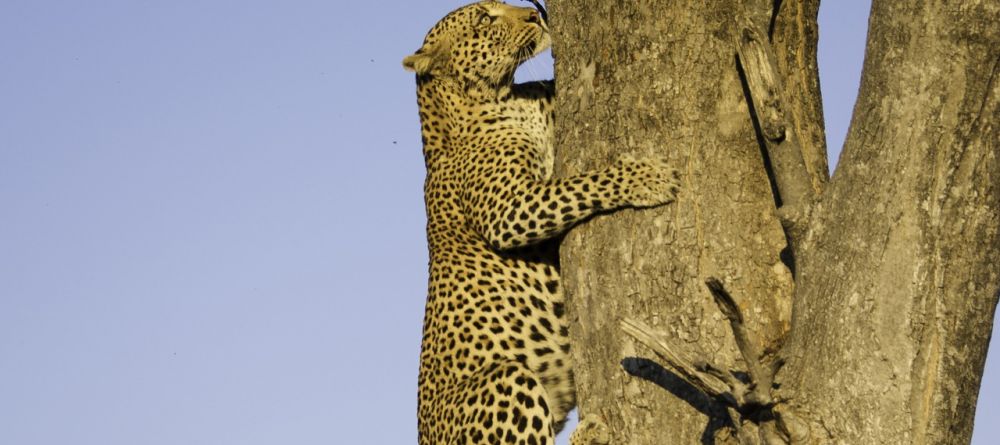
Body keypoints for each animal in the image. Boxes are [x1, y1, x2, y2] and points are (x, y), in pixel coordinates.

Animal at [404, 1, 680, 442]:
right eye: (484, 19)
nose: (534, 15)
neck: (500, 97)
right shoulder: (509, 209)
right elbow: (579, 185)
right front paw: (645, 178)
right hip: (506, 376)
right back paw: (592, 431)